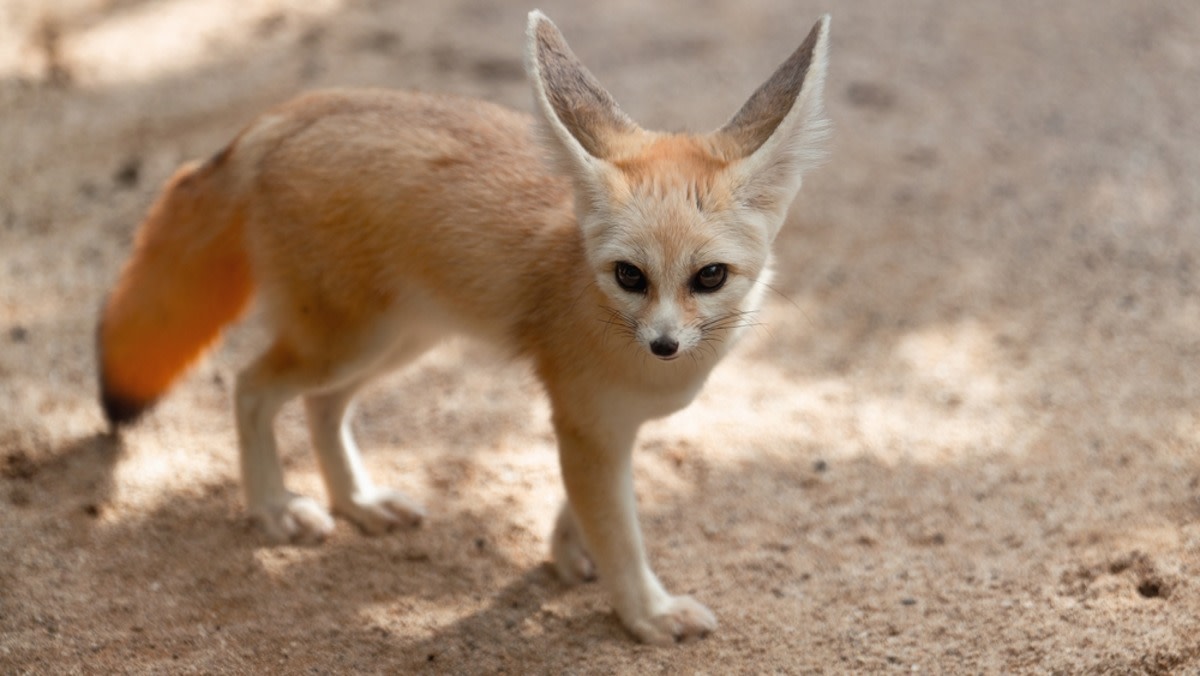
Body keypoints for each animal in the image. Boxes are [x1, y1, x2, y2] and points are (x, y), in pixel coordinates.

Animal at [96, 11, 830, 644]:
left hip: (395, 344)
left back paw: (358, 501)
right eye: (630, 276)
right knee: (251, 387)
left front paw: (569, 554)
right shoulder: (586, 423)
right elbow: (619, 530)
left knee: (321, 407)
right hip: (345, 345)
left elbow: (587, 506)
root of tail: (291, 113)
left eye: (709, 277)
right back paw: (274, 509)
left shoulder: (605, 428)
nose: (665, 345)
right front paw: (645, 613)